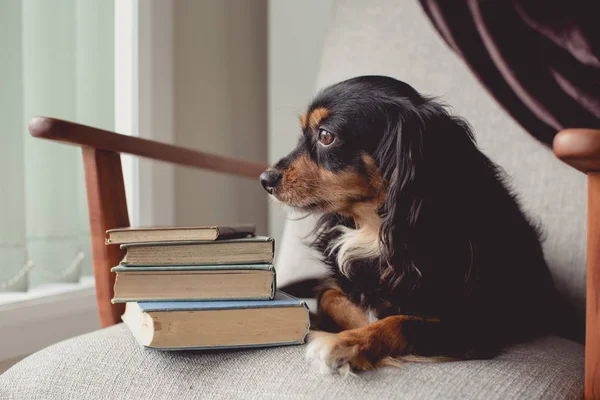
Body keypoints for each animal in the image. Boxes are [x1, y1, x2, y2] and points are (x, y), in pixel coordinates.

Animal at [260, 75, 560, 376]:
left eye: (325, 136)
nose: (265, 179)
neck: (375, 230)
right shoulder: (337, 287)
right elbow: (331, 298)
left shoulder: (474, 325)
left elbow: (401, 322)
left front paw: (346, 343)